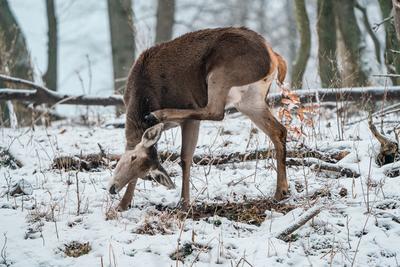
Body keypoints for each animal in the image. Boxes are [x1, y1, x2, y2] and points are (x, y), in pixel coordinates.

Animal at [108, 26, 290, 211]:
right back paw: (280, 191)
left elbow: (185, 157)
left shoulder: (190, 117)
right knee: (279, 130)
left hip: (222, 72)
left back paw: (157, 114)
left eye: (134, 158)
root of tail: (275, 57)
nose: (113, 189)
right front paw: (123, 205)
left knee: (215, 111)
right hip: (250, 99)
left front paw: (184, 202)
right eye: (146, 176)